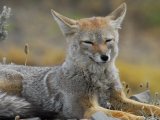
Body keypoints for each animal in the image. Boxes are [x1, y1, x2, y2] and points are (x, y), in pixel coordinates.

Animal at [0, 2, 160, 120]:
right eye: (89, 42)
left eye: (108, 40)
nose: (104, 57)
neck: (99, 79)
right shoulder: (87, 109)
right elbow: (120, 113)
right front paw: (136, 117)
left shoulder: (118, 99)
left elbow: (151, 107)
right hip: (17, 80)